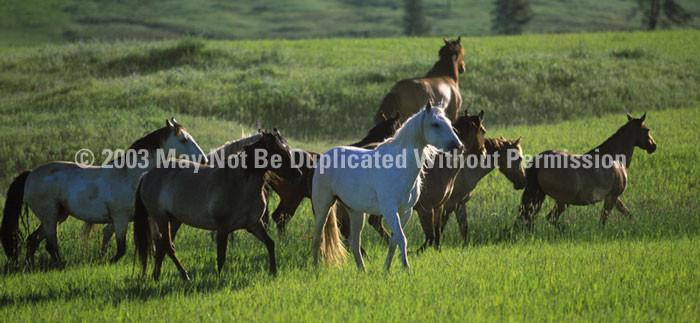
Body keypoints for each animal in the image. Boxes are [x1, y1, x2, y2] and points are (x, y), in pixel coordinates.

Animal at [0, 120, 206, 268]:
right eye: (183, 140)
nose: (203, 159)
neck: (130, 175)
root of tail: (30, 174)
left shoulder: (146, 219)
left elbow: (156, 244)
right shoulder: (120, 219)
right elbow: (121, 248)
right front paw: (106, 262)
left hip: (58, 216)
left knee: (32, 240)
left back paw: (29, 265)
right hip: (50, 216)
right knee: (50, 244)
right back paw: (61, 264)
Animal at [134, 130, 300, 282]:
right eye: (279, 152)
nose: (298, 174)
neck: (240, 184)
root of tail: (146, 176)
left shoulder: (253, 224)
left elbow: (270, 244)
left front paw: (273, 271)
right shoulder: (222, 228)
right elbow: (221, 255)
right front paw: (219, 279)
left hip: (174, 220)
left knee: (163, 245)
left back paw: (157, 276)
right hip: (161, 218)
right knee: (168, 246)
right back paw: (184, 275)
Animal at [312, 103, 464, 270]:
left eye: (449, 123)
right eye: (435, 124)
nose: (458, 146)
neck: (399, 167)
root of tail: (324, 156)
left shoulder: (405, 212)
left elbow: (394, 240)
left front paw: (387, 269)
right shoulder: (390, 210)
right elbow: (402, 239)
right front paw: (407, 269)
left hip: (356, 212)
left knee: (355, 243)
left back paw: (362, 271)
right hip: (323, 207)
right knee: (318, 238)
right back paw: (315, 269)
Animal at [520, 114, 656, 228]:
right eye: (647, 130)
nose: (653, 146)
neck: (615, 159)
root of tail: (541, 159)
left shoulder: (615, 198)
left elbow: (628, 213)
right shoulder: (611, 197)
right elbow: (603, 219)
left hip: (543, 197)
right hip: (563, 201)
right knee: (551, 218)